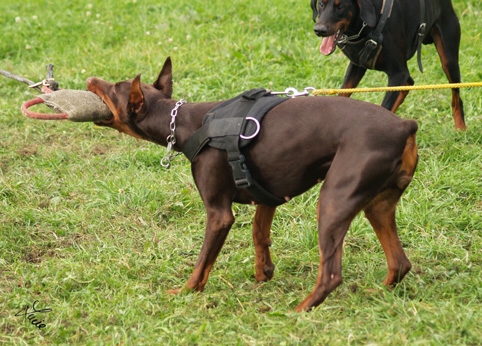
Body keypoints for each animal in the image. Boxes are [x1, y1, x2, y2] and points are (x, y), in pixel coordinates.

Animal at [86, 56, 418, 310]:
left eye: (114, 88)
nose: (89, 78)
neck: (183, 124)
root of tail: (406, 125)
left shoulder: (219, 214)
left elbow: (203, 261)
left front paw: (185, 291)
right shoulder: (267, 194)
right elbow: (259, 234)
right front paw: (263, 274)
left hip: (334, 201)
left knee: (332, 274)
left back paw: (301, 310)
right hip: (378, 205)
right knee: (400, 262)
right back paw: (377, 293)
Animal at [310, 0, 466, 130]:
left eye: (341, 6)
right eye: (321, 4)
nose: (319, 30)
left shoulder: (398, 73)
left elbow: (385, 106)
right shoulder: (357, 65)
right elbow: (343, 94)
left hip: (449, 60)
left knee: (456, 96)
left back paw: (460, 128)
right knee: (409, 83)